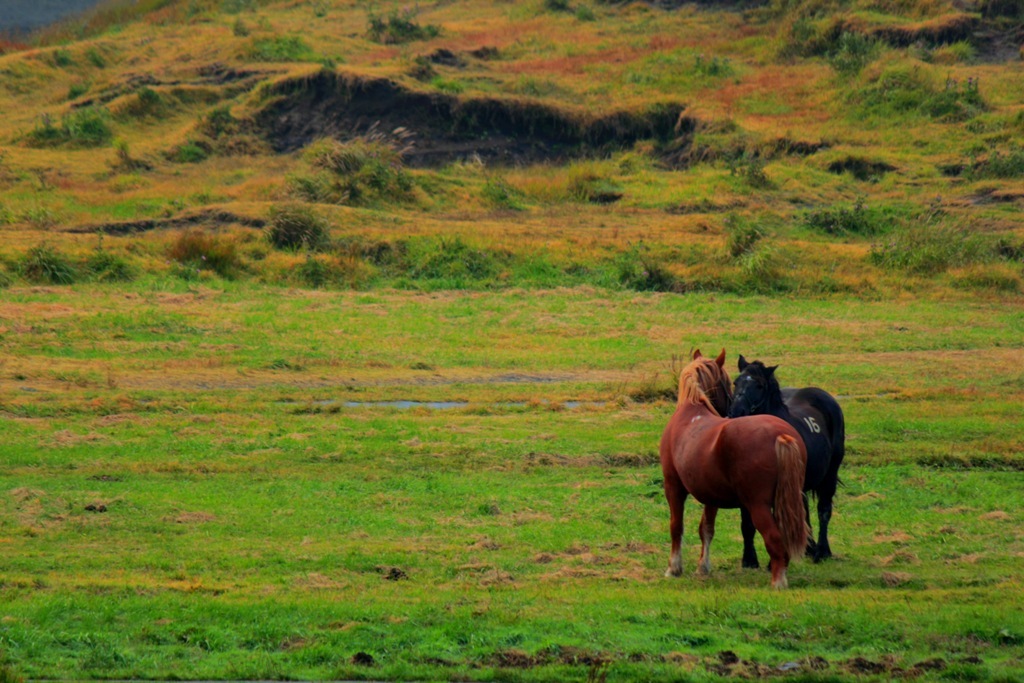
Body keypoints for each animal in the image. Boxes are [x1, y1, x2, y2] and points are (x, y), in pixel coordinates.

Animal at [659, 350, 811, 589]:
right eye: (733, 382)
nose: (732, 409)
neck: (691, 410)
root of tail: (781, 435)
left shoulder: (673, 486)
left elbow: (676, 526)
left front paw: (674, 568)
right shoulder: (711, 496)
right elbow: (706, 529)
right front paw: (703, 567)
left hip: (758, 505)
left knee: (775, 540)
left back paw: (777, 582)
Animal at [729, 358, 847, 565]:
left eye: (759, 385)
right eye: (736, 382)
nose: (737, 412)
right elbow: (747, 524)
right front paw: (749, 560)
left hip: (830, 475)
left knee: (823, 510)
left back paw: (822, 551)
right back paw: (809, 547)